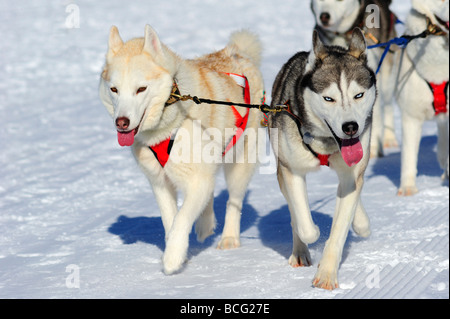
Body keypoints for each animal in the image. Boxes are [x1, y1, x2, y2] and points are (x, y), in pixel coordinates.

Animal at [99, 25, 264, 276]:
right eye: (114, 89)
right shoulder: (160, 182)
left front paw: (172, 260)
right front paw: (176, 252)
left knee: (233, 201)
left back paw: (228, 238)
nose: (122, 123)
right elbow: (170, 220)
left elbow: (181, 219)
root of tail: (236, 52)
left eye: (141, 89)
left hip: (239, 164)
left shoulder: (197, 179)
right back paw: (205, 224)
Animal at [270, 29, 376, 290]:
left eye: (358, 95)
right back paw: (300, 251)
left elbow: (339, 229)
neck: (327, 144)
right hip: (281, 170)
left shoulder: (351, 176)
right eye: (329, 99)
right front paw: (313, 232)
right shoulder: (292, 170)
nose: (350, 127)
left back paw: (361, 221)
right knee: (294, 215)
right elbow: (306, 227)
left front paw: (327, 274)